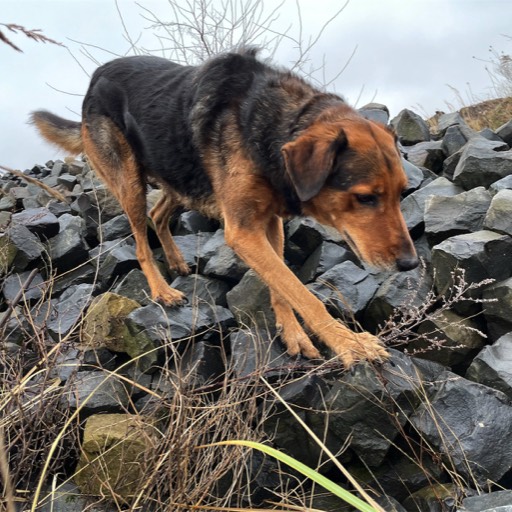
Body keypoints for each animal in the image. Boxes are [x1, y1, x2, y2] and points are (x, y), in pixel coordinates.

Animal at [31, 49, 416, 368]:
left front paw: (292, 334)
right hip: (129, 181)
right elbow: (300, 291)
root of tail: (97, 74)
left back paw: (176, 261)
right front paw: (348, 343)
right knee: (141, 238)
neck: (274, 125)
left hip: (181, 172)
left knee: (159, 215)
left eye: (402, 193)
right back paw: (161, 289)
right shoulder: (243, 230)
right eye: (366, 198)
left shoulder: (268, 221)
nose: (410, 265)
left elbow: (282, 285)